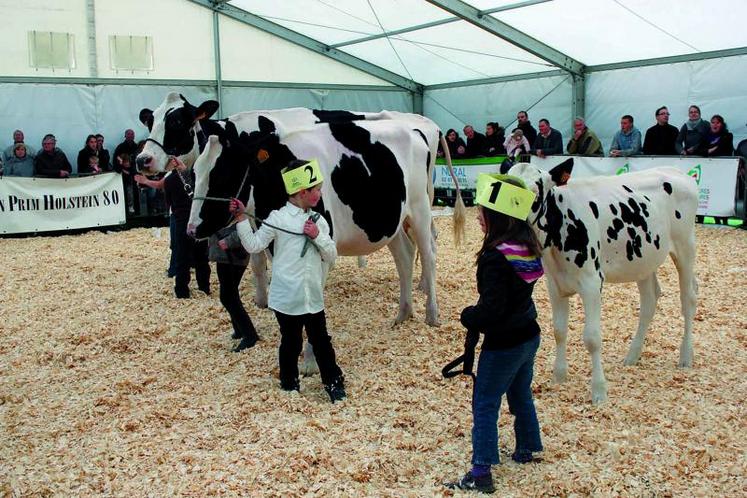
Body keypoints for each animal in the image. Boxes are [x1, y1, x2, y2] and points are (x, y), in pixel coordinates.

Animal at [508, 160, 700, 404]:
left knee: (688, 298)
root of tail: (676, 171)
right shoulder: (555, 284)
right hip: (643, 258)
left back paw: (685, 356)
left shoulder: (591, 283)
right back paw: (632, 355)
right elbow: (559, 331)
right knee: (650, 300)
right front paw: (559, 377)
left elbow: (592, 338)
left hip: (685, 246)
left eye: (534, 193)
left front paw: (599, 391)